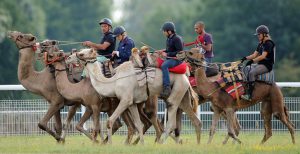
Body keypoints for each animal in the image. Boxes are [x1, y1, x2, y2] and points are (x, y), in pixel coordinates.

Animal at [66, 47, 202, 143]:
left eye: (82, 54)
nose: (69, 57)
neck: (113, 82)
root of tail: (185, 76)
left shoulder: (125, 100)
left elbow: (110, 121)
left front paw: (109, 144)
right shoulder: (132, 103)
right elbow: (138, 125)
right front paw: (142, 144)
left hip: (175, 92)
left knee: (170, 121)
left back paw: (162, 143)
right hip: (183, 96)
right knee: (195, 120)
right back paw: (197, 143)